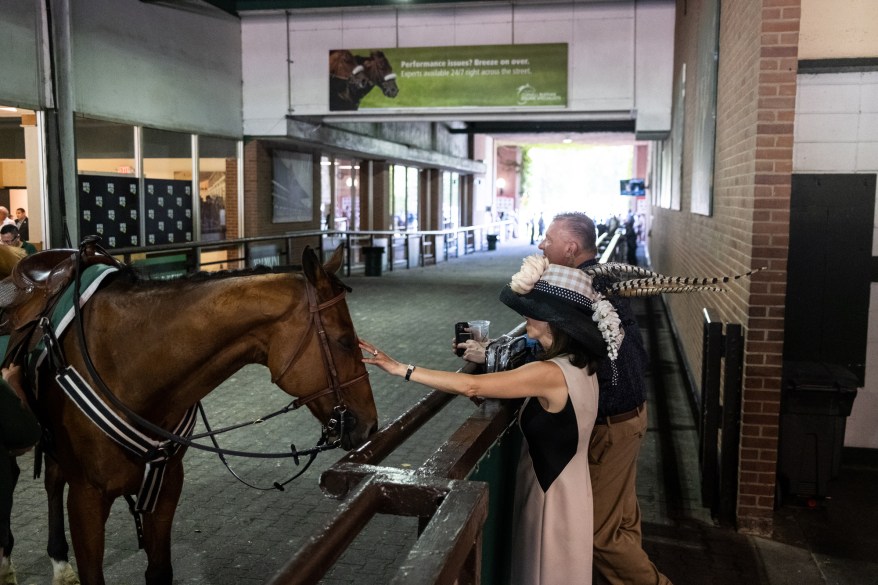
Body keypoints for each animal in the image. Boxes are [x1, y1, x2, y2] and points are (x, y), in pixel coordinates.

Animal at [26, 244, 378, 580]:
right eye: (345, 341)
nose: (372, 425)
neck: (124, 363)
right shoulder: (86, 498)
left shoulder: (166, 487)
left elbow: (159, 571)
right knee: (53, 482)